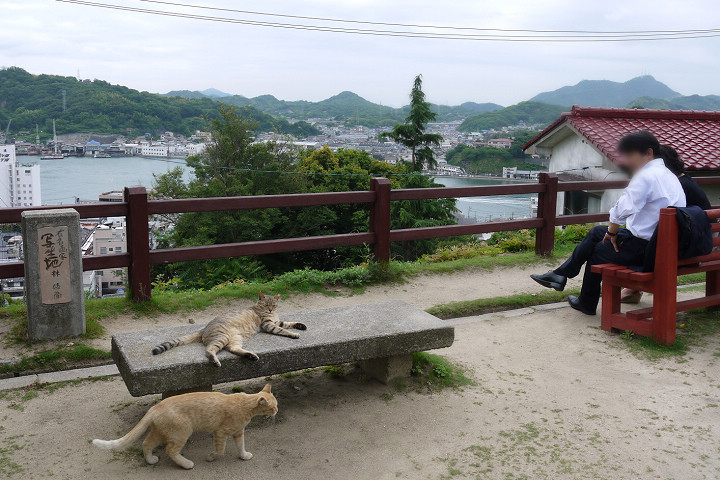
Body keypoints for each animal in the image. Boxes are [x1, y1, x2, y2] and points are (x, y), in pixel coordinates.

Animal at [93, 386, 278, 468]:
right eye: (273, 407)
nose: (277, 411)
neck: (243, 404)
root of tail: (155, 407)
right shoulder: (220, 432)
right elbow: (220, 450)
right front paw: (211, 457)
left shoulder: (238, 432)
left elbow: (241, 446)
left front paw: (244, 455)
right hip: (182, 432)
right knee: (170, 450)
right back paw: (186, 463)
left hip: (161, 433)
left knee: (146, 443)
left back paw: (151, 460)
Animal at [152, 292, 306, 368]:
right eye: (266, 304)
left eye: (274, 305)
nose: (270, 310)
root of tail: (204, 329)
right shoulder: (268, 325)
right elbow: (283, 330)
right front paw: (294, 334)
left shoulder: (276, 321)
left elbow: (287, 323)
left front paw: (300, 325)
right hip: (223, 337)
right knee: (209, 350)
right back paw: (215, 361)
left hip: (235, 338)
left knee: (233, 349)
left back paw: (251, 356)